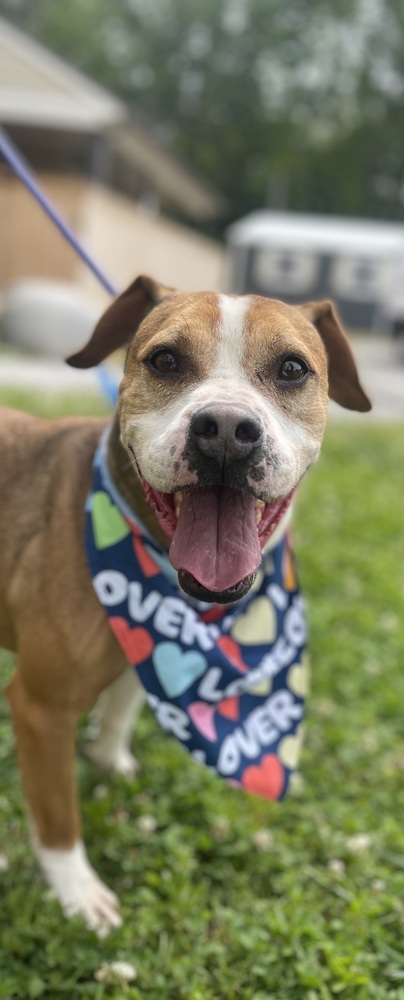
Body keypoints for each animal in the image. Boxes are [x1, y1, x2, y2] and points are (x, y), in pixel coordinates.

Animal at [0, 278, 370, 932]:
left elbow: (121, 707)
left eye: (292, 368)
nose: (224, 427)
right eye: (166, 360)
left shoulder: (137, 650)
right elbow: (58, 813)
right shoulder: (41, 709)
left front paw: (108, 760)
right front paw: (77, 890)